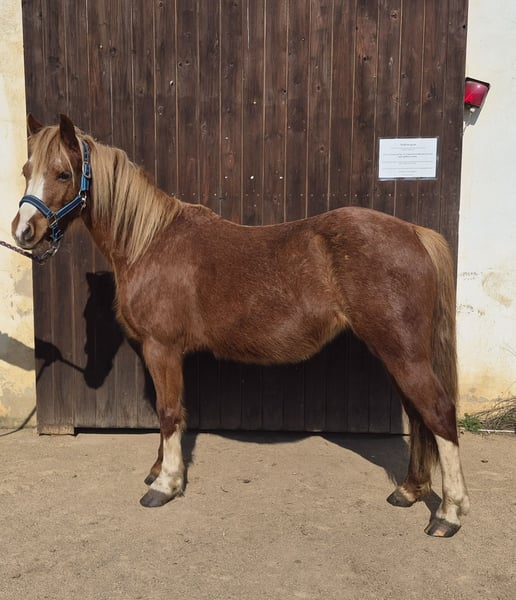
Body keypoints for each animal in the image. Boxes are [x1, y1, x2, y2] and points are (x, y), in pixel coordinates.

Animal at [12, 114, 469, 537]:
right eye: (26, 169)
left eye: (63, 173)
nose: (23, 231)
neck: (149, 242)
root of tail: (414, 233)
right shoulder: (157, 351)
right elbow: (166, 411)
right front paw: (157, 469)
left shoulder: (162, 348)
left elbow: (168, 411)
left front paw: (165, 485)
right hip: (395, 353)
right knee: (418, 416)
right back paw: (409, 491)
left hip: (403, 353)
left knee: (439, 413)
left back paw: (448, 514)